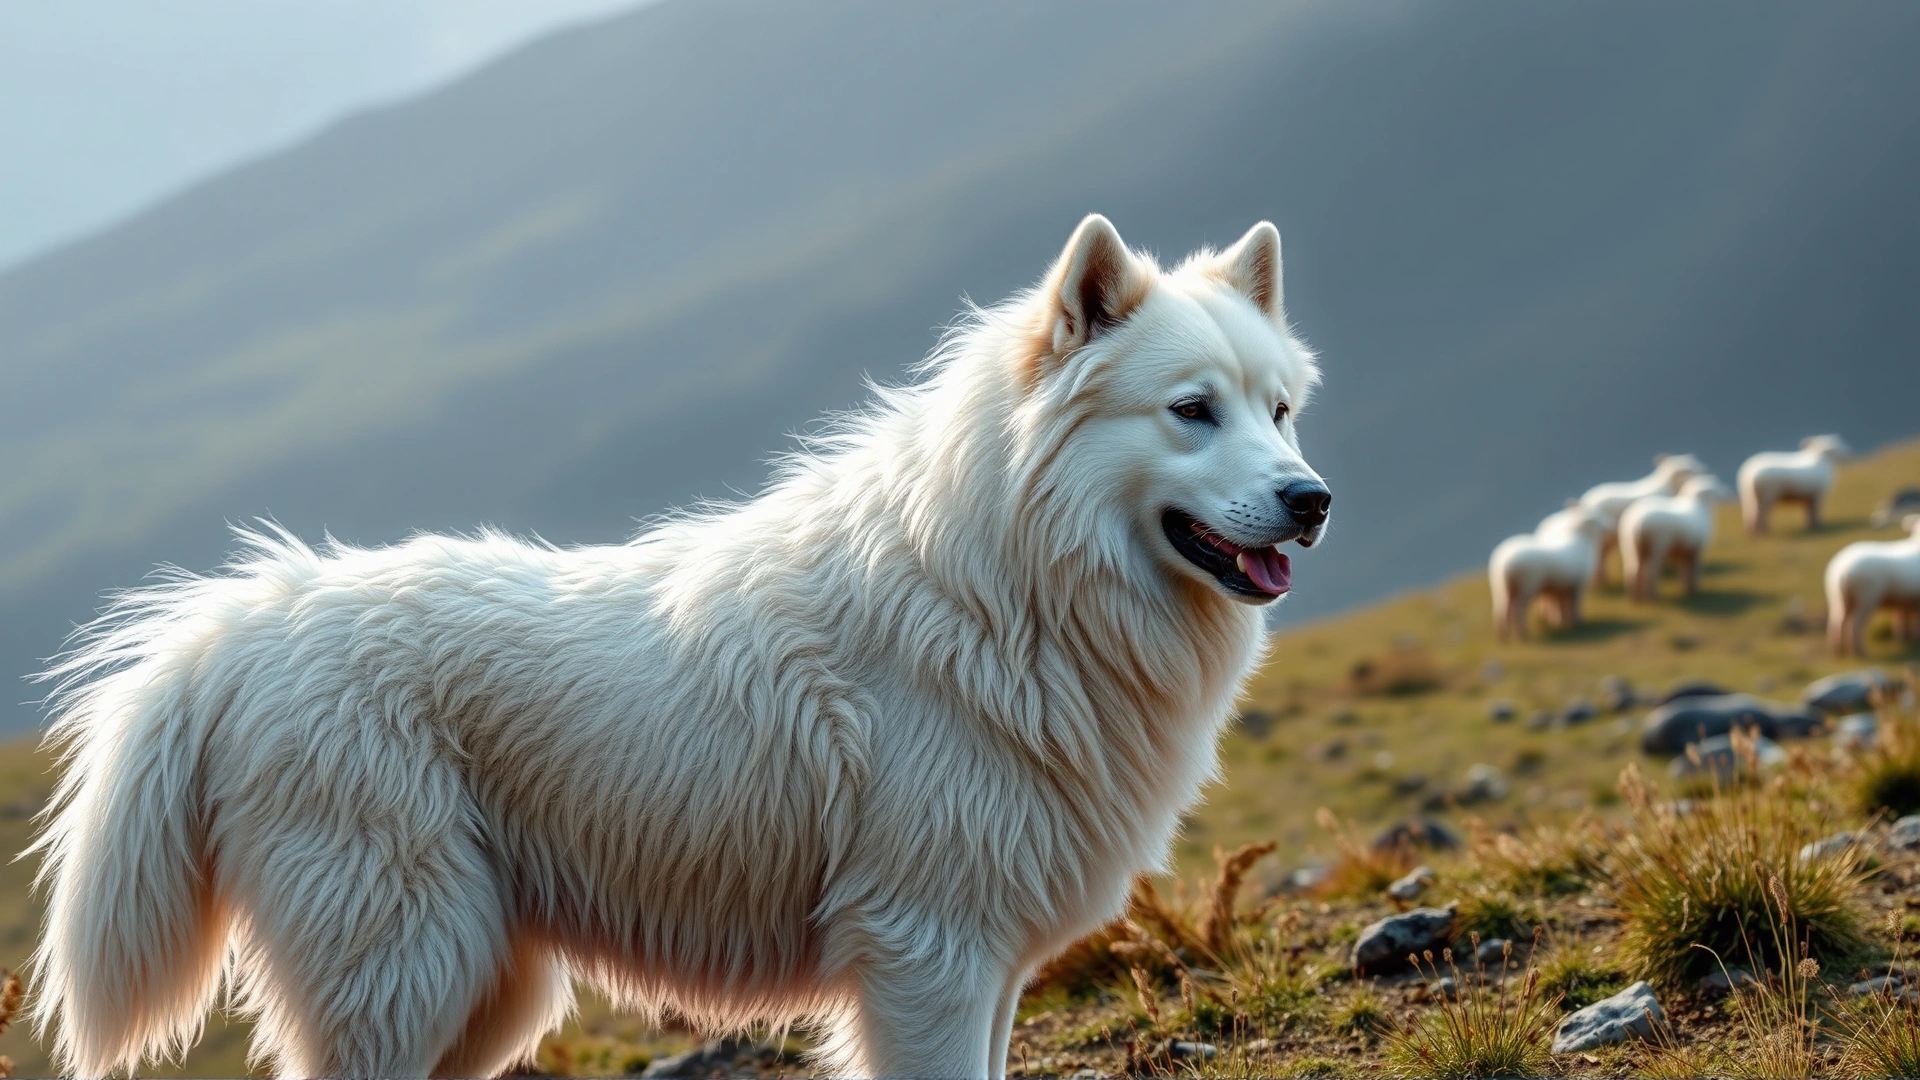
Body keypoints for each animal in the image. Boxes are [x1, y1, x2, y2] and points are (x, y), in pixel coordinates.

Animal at [1489, 505, 1609, 641]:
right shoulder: (1577, 585)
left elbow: (1561, 606)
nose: (1609, 525)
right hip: (1527, 585)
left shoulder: (1560, 588)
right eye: (1597, 517)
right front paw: (1577, 623)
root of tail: (1505, 562)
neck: (1581, 540)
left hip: (1500, 587)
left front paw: (1561, 622)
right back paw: (1523, 634)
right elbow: (1574, 606)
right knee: (1517, 610)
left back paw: (1503, 636)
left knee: (1501, 610)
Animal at [1578, 454, 1708, 583]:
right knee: (1598, 557)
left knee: (1602, 556)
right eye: (1686, 470)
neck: (1669, 487)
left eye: (1694, 463)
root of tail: (1586, 501)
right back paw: (1600, 579)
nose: (1703, 471)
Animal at [1825, 514, 1920, 657]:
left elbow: (1902, 619)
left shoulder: (1904, 600)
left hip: (1839, 598)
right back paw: (1860, 652)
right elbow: (1914, 621)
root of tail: (1843, 571)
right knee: (1855, 624)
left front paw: (1904, 639)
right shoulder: (1914, 601)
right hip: (1866, 597)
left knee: (1837, 622)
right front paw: (1913, 639)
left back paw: (1839, 651)